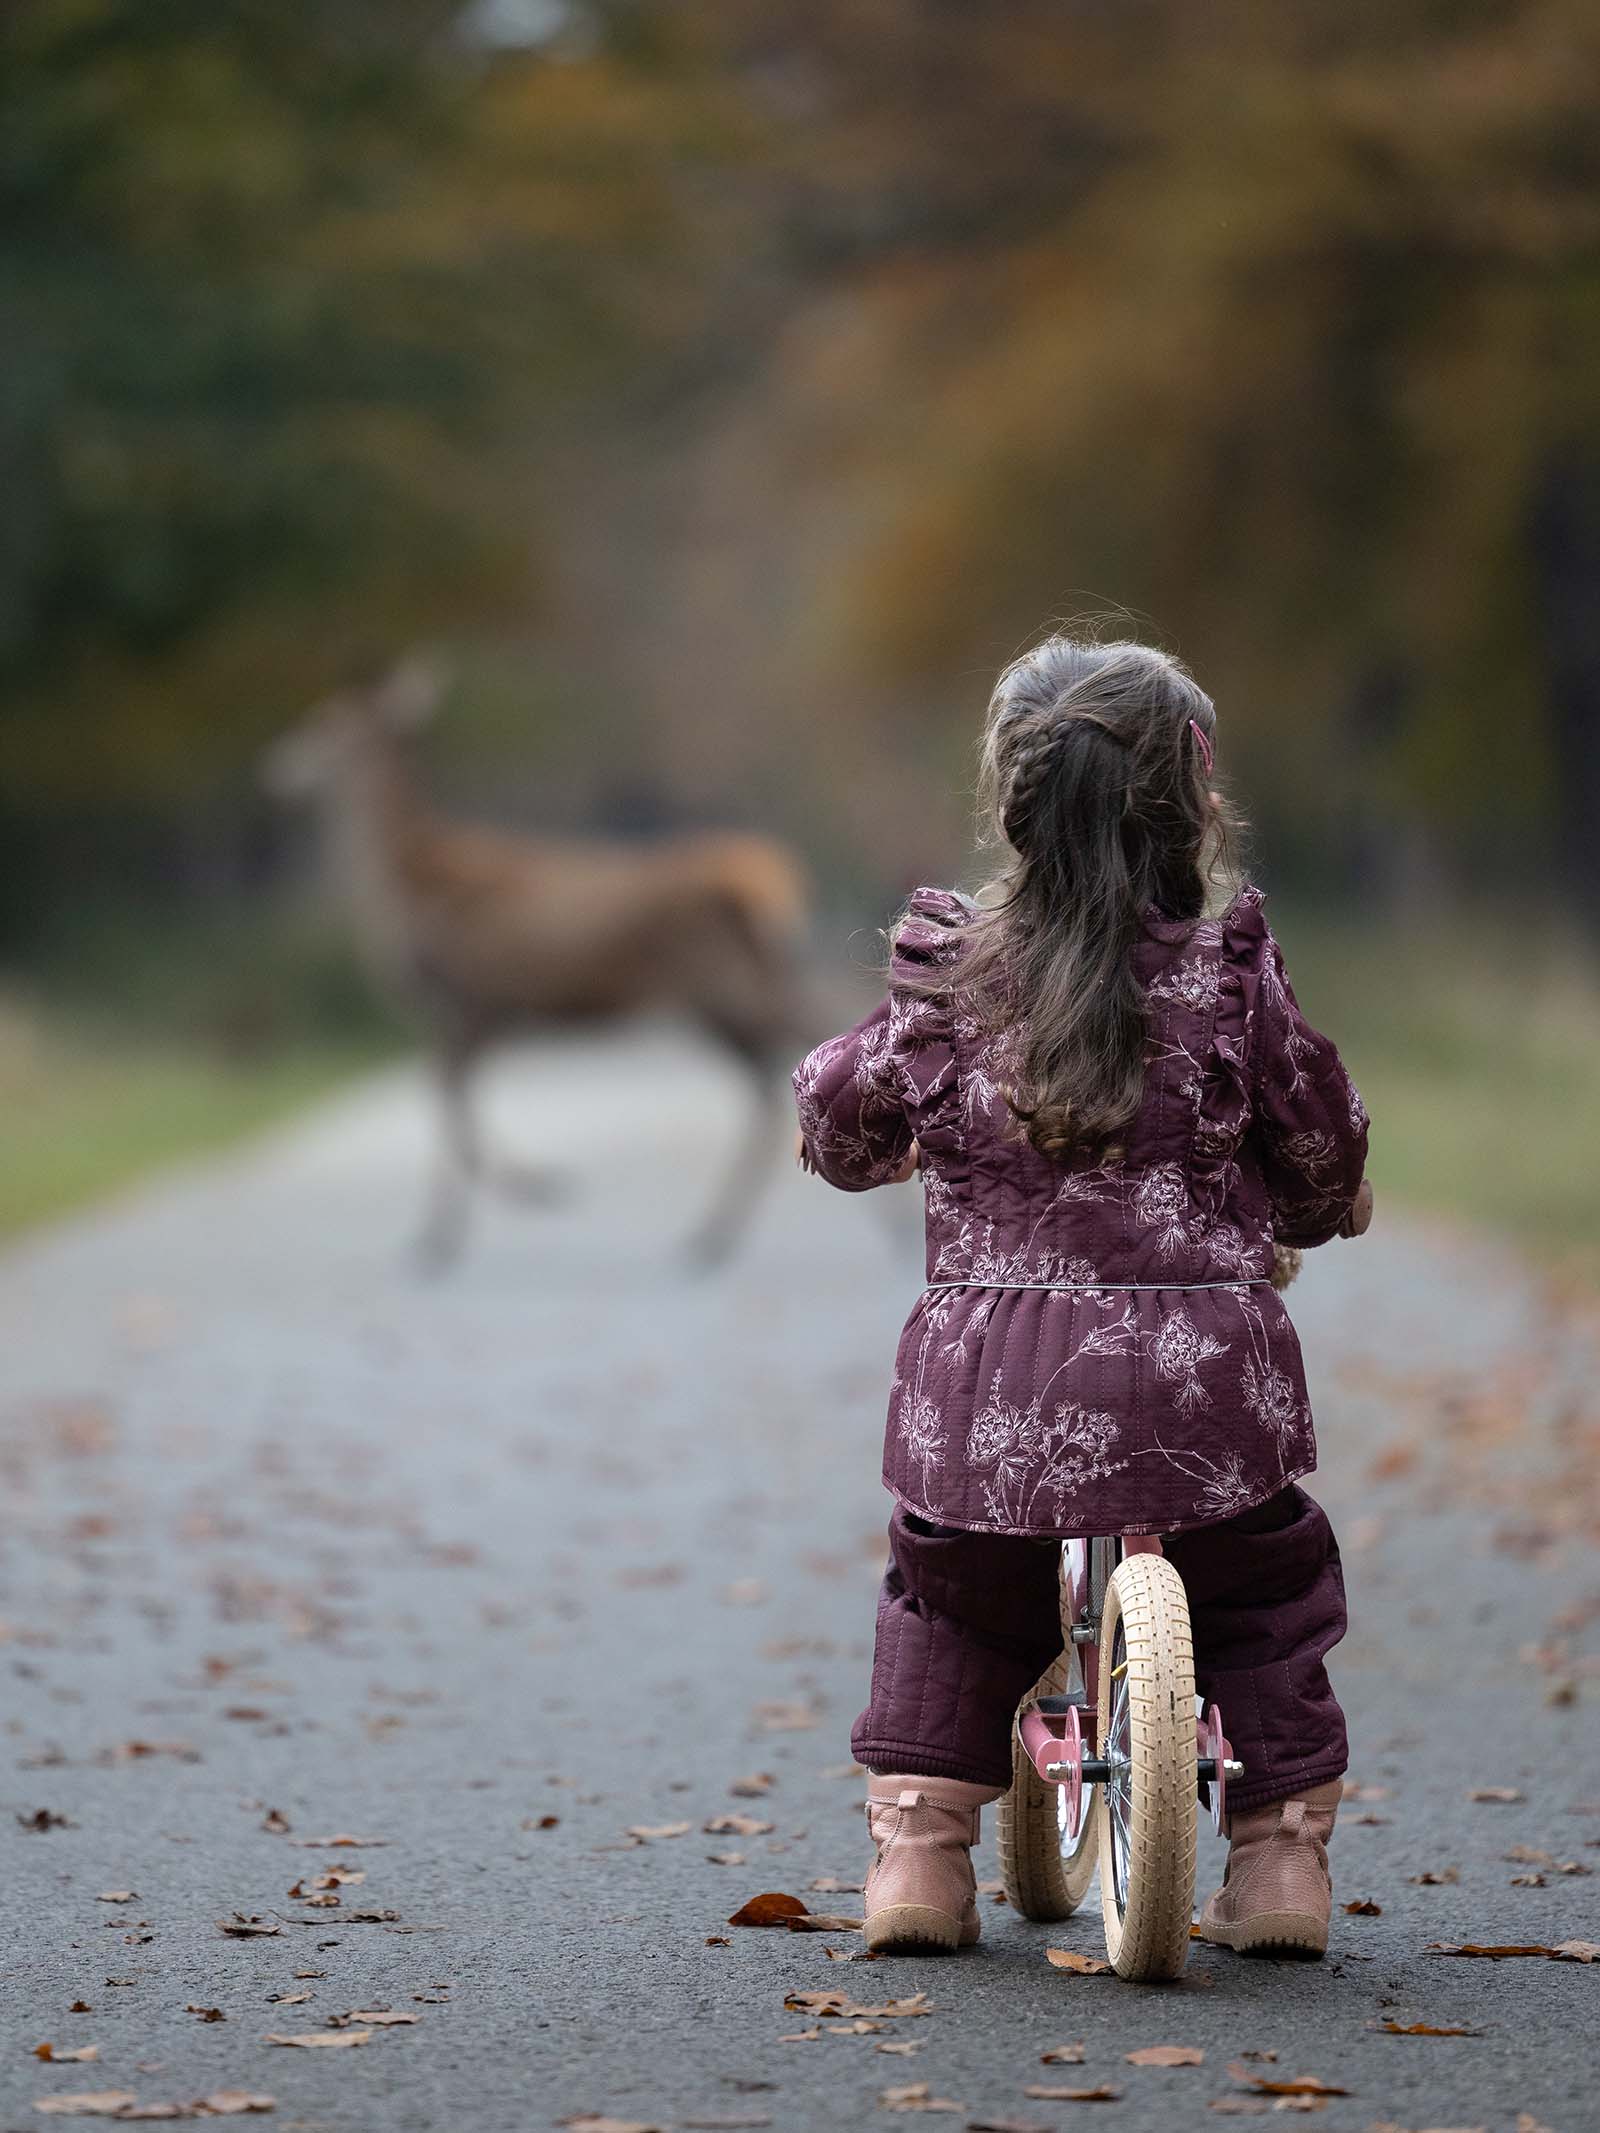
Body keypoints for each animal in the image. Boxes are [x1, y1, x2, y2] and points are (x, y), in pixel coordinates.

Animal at [269, 661, 814, 1262]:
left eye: (327, 722)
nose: (279, 767)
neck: (402, 883)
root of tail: (767, 886)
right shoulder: (480, 1011)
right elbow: (456, 1101)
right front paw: (478, 1216)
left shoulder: (462, 996)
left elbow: (449, 1103)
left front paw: (465, 1227)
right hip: (737, 989)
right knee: (775, 1079)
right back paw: (714, 1236)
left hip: (720, 983)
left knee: (802, 1044)